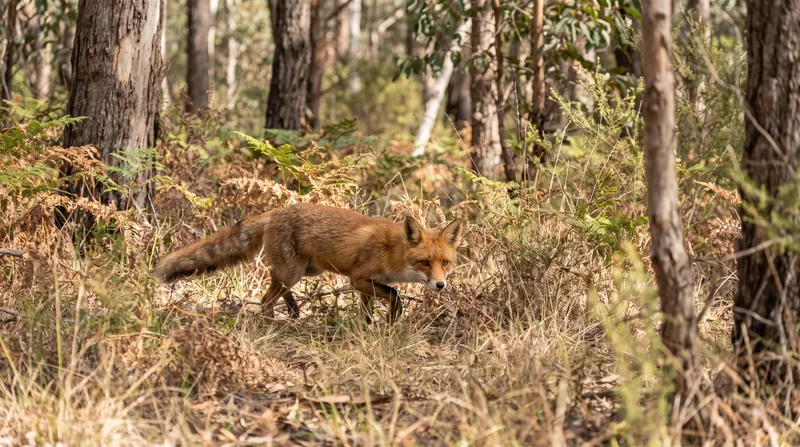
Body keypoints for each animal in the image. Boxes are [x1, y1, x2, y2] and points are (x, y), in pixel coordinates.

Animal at [153, 203, 463, 323]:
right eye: (424, 262)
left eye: (445, 262)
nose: (440, 285)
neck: (394, 252)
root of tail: (275, 211)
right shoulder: (359, 279)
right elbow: (396, 294)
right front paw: (392, 319)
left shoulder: (365, 286)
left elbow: (368, 310)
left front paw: (370, 328)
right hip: (293, 271)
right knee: (267, 298)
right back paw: (274, 322)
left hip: (305, 271)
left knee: (277, 287)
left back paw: (293, 311)